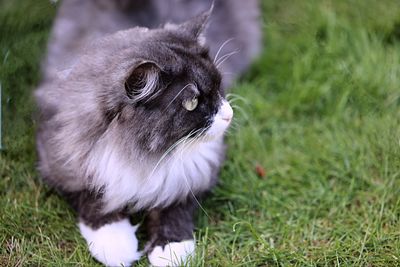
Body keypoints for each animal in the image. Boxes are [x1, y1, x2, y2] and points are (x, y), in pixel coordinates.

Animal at [36, 1, 260, 266]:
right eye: (192, 102)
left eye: (218, 86)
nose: (229, 115)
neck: (139, 154)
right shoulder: (61, 159)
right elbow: (93, 199)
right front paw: (116, 244)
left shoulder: (199, 172)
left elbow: (175, 203)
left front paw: (171, 251)